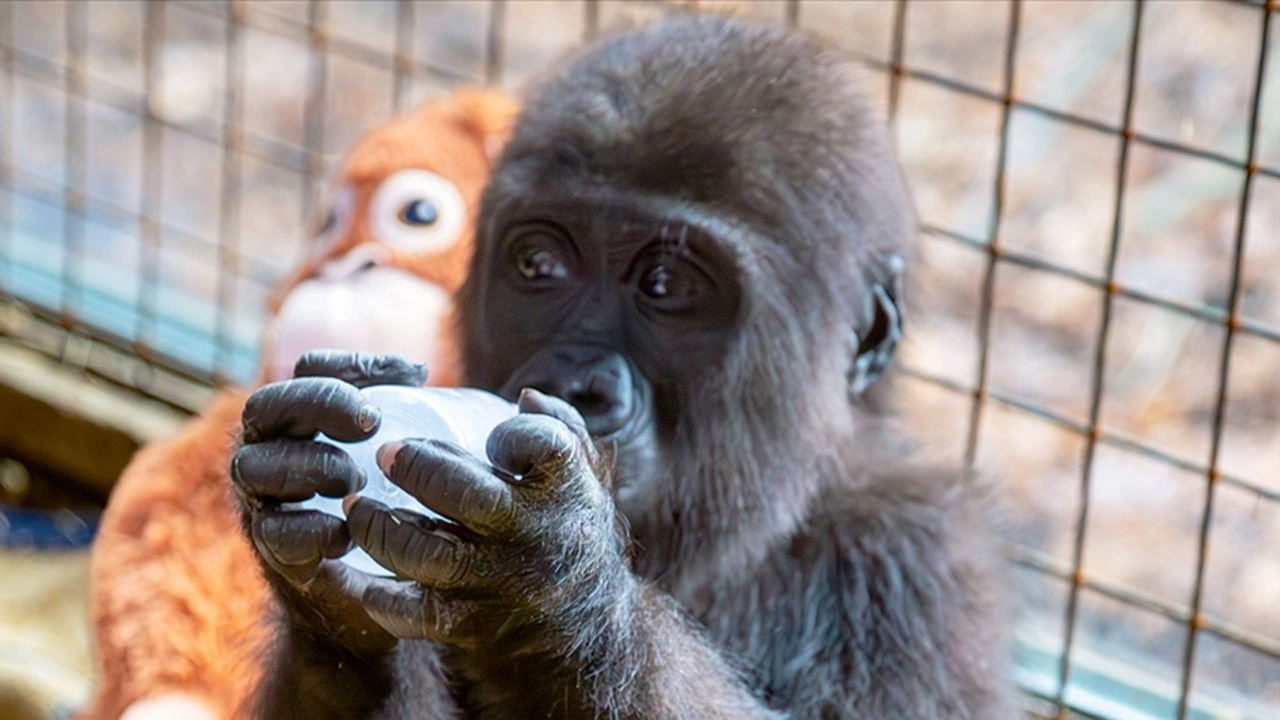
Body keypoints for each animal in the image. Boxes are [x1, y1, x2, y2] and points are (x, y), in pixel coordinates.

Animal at [230, 12, 1008, 717]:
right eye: (539, 266)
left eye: (666, 285)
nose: (576, 383)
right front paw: (323, 608)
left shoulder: (914, 565)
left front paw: (555, 593)